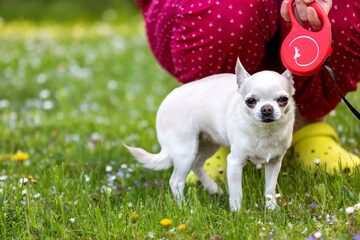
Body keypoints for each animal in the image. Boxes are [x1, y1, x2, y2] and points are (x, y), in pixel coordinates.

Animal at [126, 58, 296, 210]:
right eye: (250, 101)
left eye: (283, 99)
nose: (266, 109)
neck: (266, 131)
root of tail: (163, 104)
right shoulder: (234, 162)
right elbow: (237, 193)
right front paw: (237, 213)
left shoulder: (274, 162)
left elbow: (270, 190)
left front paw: (271, 209)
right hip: (185, 151)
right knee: (176, 182)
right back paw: (184, 208)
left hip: (208, 144)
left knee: (197, 165)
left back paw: (213, 188)